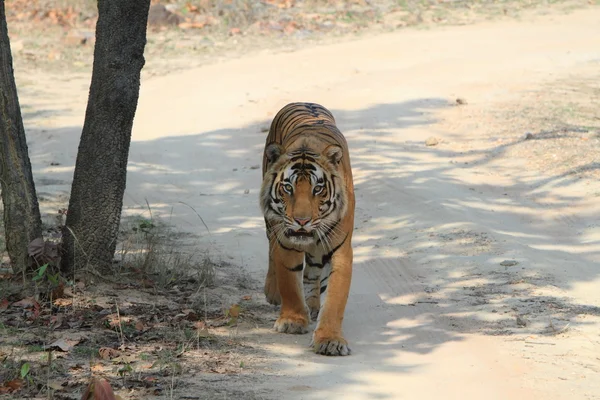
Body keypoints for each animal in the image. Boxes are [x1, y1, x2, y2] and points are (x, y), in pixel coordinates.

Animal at [258, 102, 354, 356]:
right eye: (288, 188)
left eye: (318, 188)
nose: (302, 221)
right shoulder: (286, 242)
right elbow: (289, 283)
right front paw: (292, 321)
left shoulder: (340, 249)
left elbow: (335, 298)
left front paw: (330, 340)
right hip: (270, 224)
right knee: (271, 251)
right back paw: (273, 293)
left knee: (313, 272)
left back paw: (312, 305)